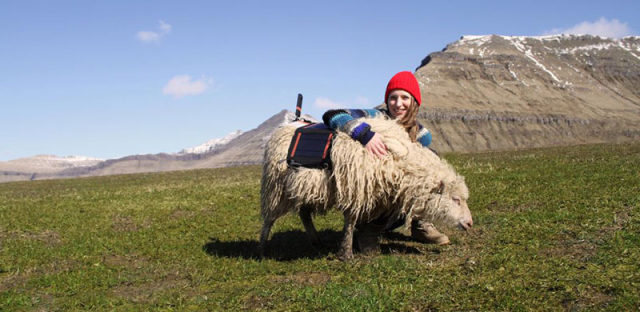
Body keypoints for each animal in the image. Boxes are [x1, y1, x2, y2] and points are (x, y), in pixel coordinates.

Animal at [258, 116, 472, 260]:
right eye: (456, 199)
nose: (470, 223)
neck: (397, 161)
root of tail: (283, 127)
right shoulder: (356, 188)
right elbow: (350, 220)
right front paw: (346, 253)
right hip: (275, 186)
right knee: (269, 219)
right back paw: (262, 247)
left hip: (305, 186)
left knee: (304, 213)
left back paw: (316, 240)